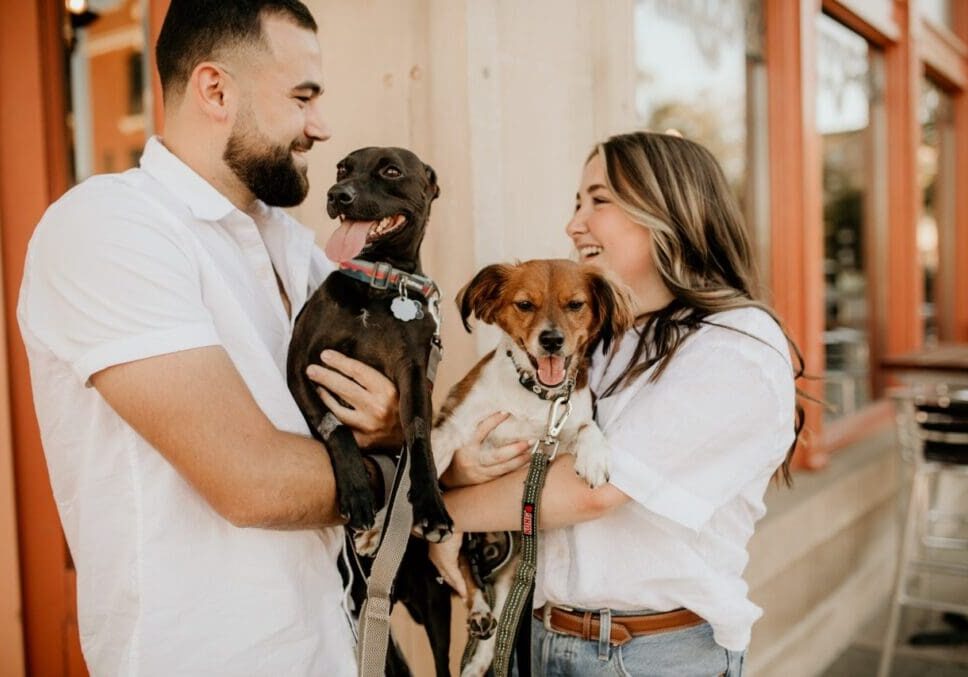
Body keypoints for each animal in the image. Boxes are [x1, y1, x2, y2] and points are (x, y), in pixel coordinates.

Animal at [432, 256, 636, 672]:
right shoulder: (452, 426)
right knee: (467, 576)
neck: (536, 395)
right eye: (525, 304)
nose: (551, 340)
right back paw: (477, 615)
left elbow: (588, 427)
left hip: (515, 573)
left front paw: (595, 458)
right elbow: (427, 464)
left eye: (575, 304)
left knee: (494, 624)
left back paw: (481, 645)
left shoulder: (565, 428)